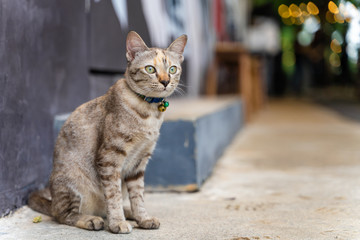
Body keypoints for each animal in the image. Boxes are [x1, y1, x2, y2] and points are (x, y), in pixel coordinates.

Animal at [28, 31, 187, 233]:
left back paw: (129, 213)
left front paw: (142, 218)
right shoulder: (110, 157)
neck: (150, 113)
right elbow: (113, 195)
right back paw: (91, 219)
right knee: (63, 214)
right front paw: (117, 222)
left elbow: (138, 196)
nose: (166, 81)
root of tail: (53, 200)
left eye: (173, 69)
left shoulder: (139, 162)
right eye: (150, 69)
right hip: (73, 183)